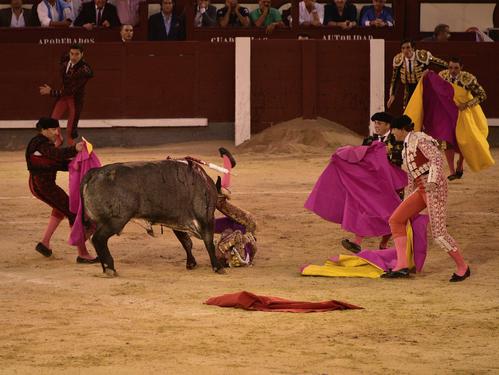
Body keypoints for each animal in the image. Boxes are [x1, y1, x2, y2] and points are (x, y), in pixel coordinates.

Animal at [81, 160, 226, 278]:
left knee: (96, 240)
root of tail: (95, 172)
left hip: (103, 221)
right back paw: (110, 269)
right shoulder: (206, 218)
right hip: (116, 220)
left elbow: (186, 242)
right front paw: (218, 267)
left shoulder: (177, 222)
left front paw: (191, 263)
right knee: (98, 239)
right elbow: (209, 242)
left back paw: (106, 268)